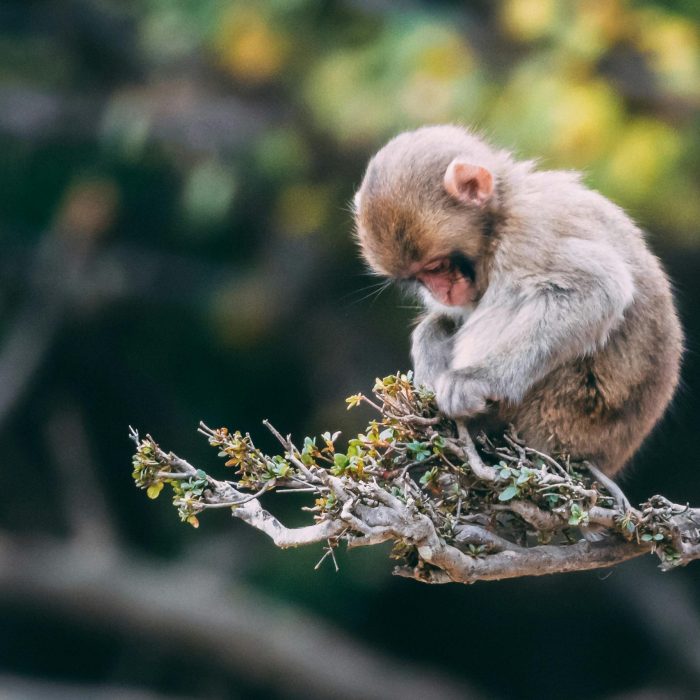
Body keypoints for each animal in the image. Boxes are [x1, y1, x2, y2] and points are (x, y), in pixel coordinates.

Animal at [353, 125, 682, 476]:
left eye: (436, 266)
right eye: (418, 278)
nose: (440, 292)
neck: (501, 214)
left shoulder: (529, 235)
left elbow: (596, 289)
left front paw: (477, 380)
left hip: (563, 415)